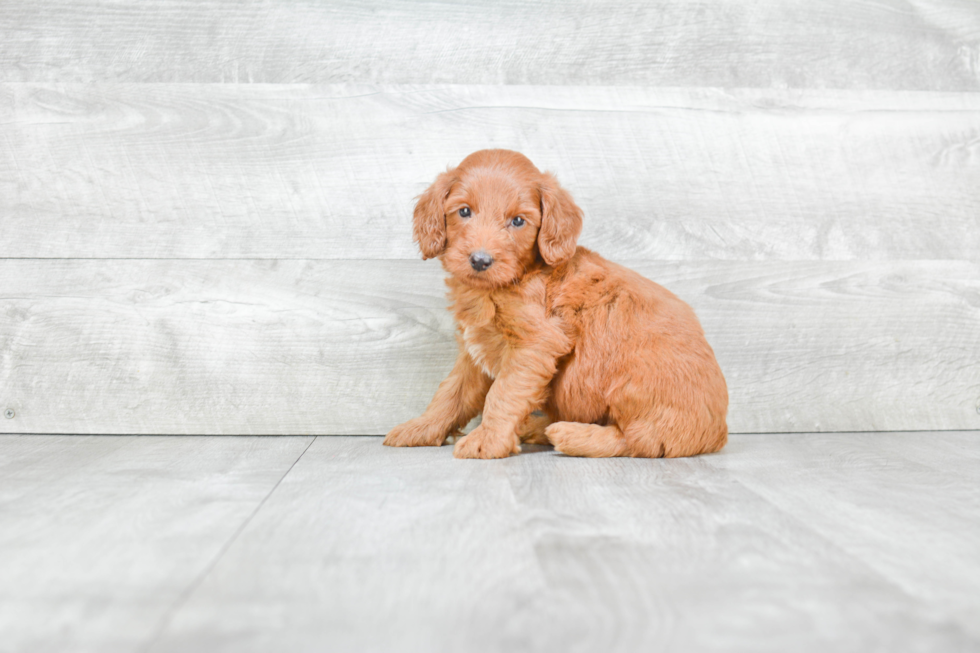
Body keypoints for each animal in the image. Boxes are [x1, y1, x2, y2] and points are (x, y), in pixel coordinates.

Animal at [382, 148, 728, 458]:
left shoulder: (536, 343)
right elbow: (451, 393)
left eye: (518, 221)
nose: (480, 260)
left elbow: (502, 394)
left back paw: (569, 434)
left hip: (631, 379)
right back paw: (535, 428)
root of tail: (718, 432)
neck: (511, 281)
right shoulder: (475, 349)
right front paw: (421, 428)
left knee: (639, 440)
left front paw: (487, 441)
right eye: (464, 211)